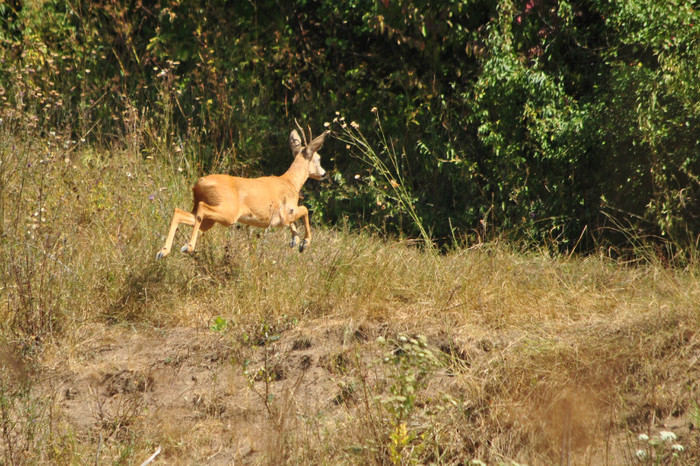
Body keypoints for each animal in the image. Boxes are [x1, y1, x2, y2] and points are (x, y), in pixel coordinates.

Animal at [157, 124, 332, 260]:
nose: (323, 174)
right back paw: (188, 247)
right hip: (228, 212)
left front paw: (295, 240)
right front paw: (304, 243)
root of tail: (199, 183)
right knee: (201, 208)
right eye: (318, 158)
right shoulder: (285, 213)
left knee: (179, 212)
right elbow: (305, 210)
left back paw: (163, 252)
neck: (290, 182)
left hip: (210, 219)